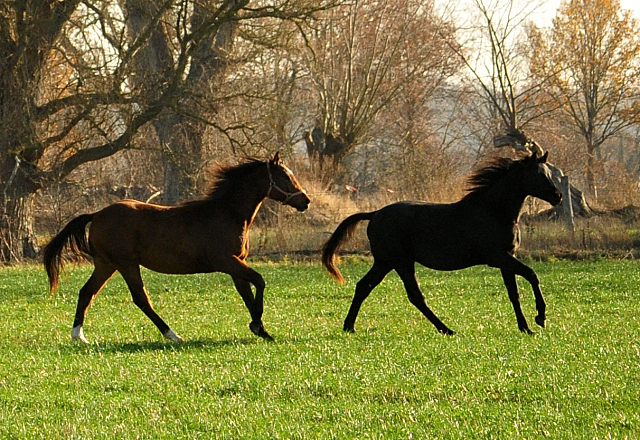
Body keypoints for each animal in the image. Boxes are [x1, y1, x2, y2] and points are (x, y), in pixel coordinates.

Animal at [43, 154, 308, 344]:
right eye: (285, 177)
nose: (305, 201)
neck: (228, 214)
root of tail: (97, 214)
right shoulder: (227, 261)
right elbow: (260, 281)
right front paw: (257, 326)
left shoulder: (236, 265)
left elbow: (248, 294)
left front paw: (261, 330)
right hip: (126, 264)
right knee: (140, 298)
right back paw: (173, 335)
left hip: (106, 265)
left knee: (87, 292)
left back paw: (79, 336)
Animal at [322, 151, 564, 334]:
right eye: (538, 175)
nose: (558, 196)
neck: (494, 211)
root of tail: (374, 214)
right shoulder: (498, 257)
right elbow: (532, 275)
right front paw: (541, 317)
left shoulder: (507, 258)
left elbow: (514, 293)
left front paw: (526, 328)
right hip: (400, 262)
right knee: (414, 296)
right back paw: (447, 329)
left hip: (385, 262)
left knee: (364, 286)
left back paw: (349, 326)